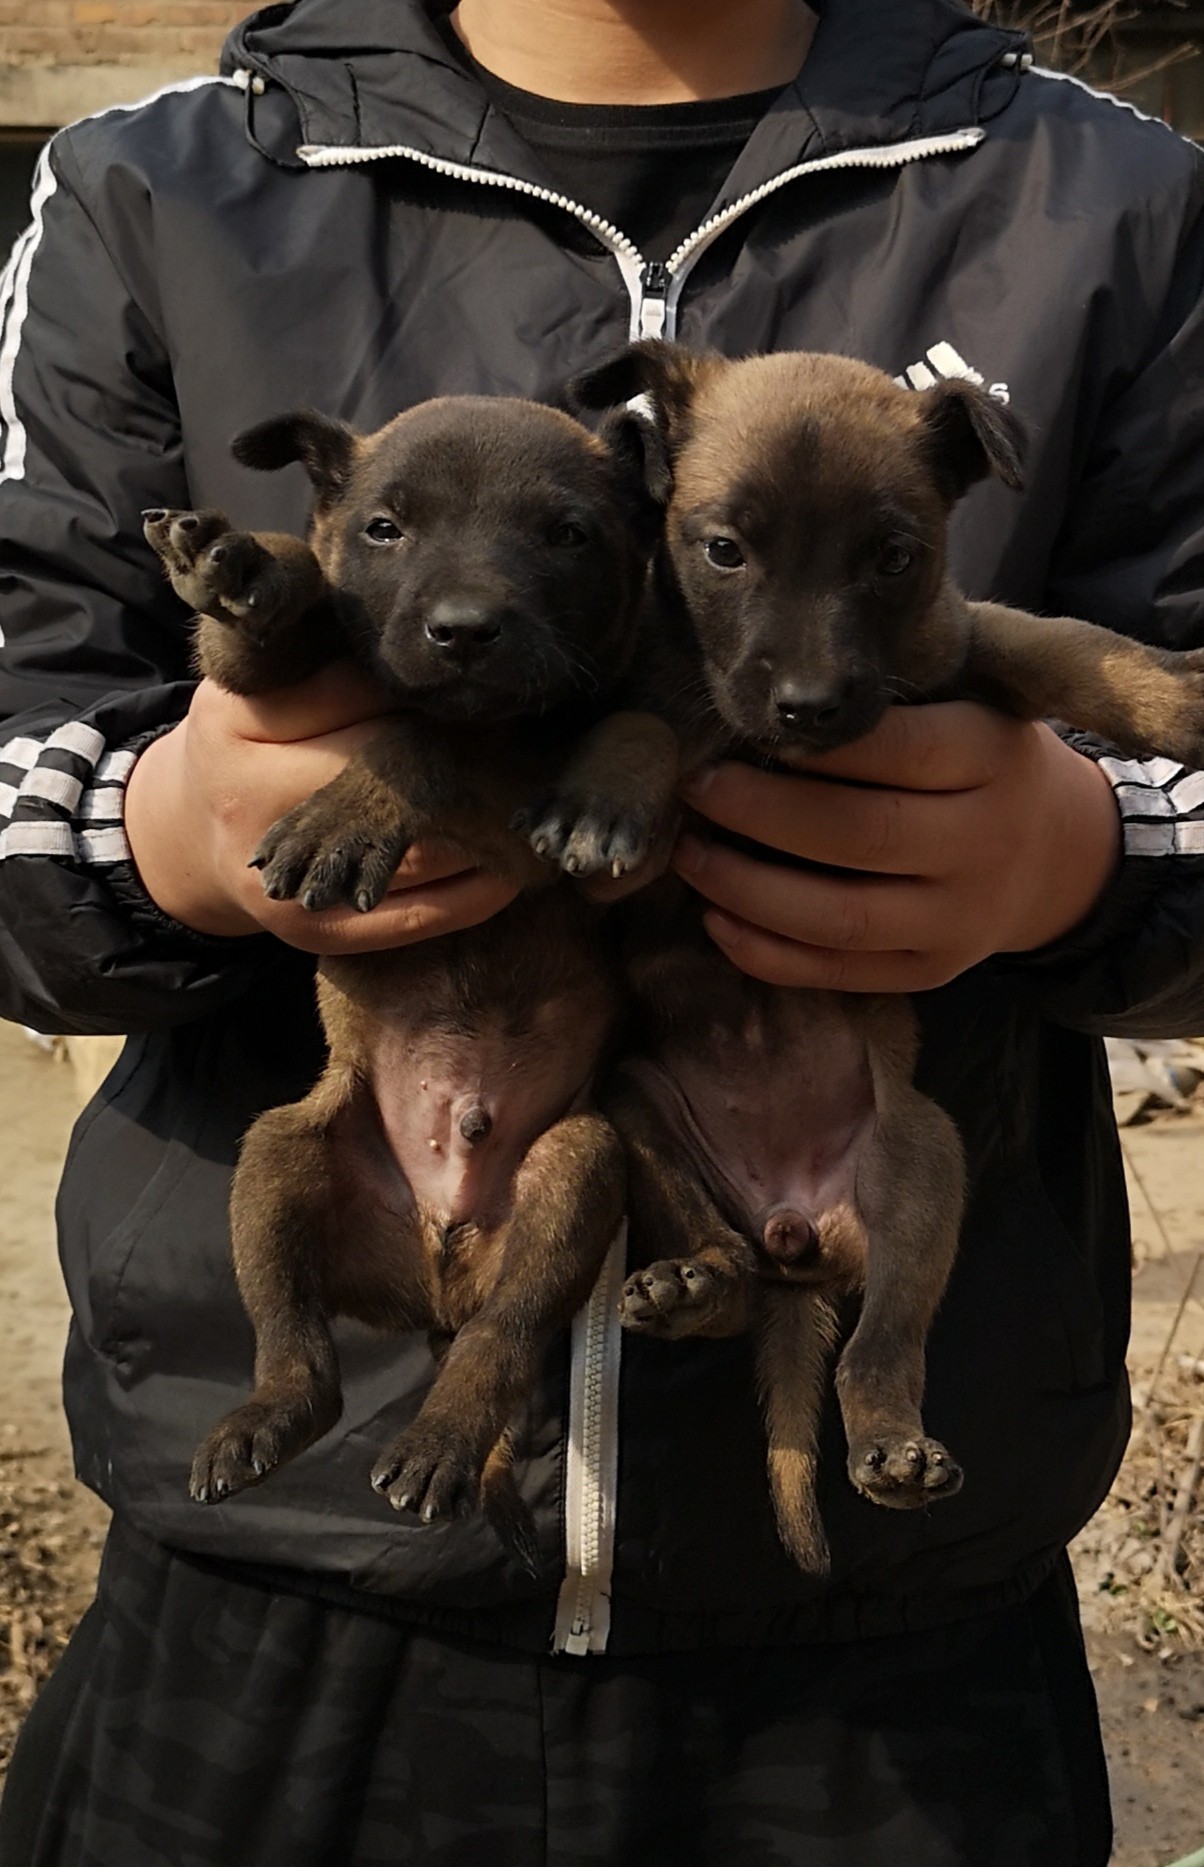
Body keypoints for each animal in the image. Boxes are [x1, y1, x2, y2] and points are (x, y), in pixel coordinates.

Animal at [147, 397, 668, 1575]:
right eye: (383, 528)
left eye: (567, 535)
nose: (464, 630)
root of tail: (441, 1255)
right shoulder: (284, 676)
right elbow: (261, 649)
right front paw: (251, 569)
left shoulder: (534, 780)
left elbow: (430, 738)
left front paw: (350, 808)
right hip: (279, 1156)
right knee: (303, 1357)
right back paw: (263, 1420)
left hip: (574, 1171)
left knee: (499, 1341)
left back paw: (437, 1443)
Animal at [548, 339, 1204, 1575]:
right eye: (723, 549)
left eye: (894, 557)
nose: (807, 708)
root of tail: (796, 1232)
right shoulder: (649, 711)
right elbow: (645, 720)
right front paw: (605, 799)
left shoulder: (954, 641)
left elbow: (1054, 639)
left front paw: (1178, 695)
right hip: (634, 1105)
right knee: (724, 1268)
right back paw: (692, 1283)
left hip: (919, 1167)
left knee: (879, 1348)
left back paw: (891, 1444)